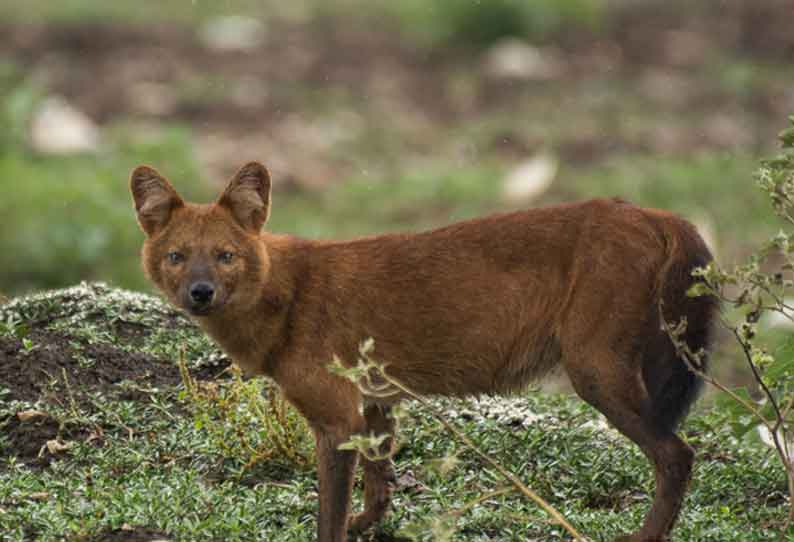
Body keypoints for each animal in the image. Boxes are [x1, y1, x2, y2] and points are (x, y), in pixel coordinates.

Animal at [131, 163, 716, 542]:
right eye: (178, 256)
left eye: (225, 256)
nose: (200, 292)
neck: (284, 295)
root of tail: (656, 214)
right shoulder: (373, 403)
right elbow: (377, 484)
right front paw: (370, 525)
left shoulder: (336, 419)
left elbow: (329, 513)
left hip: (595, 373)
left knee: (677, 456)